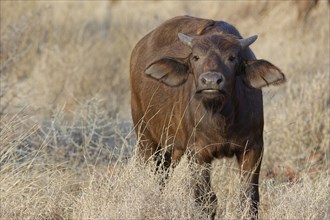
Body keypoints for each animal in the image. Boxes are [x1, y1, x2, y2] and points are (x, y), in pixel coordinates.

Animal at [130, 15, 284, 218]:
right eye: (195, 57)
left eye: (232, 57)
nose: (211, 81)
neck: (222, 119)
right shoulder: (198, 153)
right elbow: (206, 201)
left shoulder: (253, 148)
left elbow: (249, 199)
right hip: (145, 138)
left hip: (172, 149)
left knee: (163, 175)